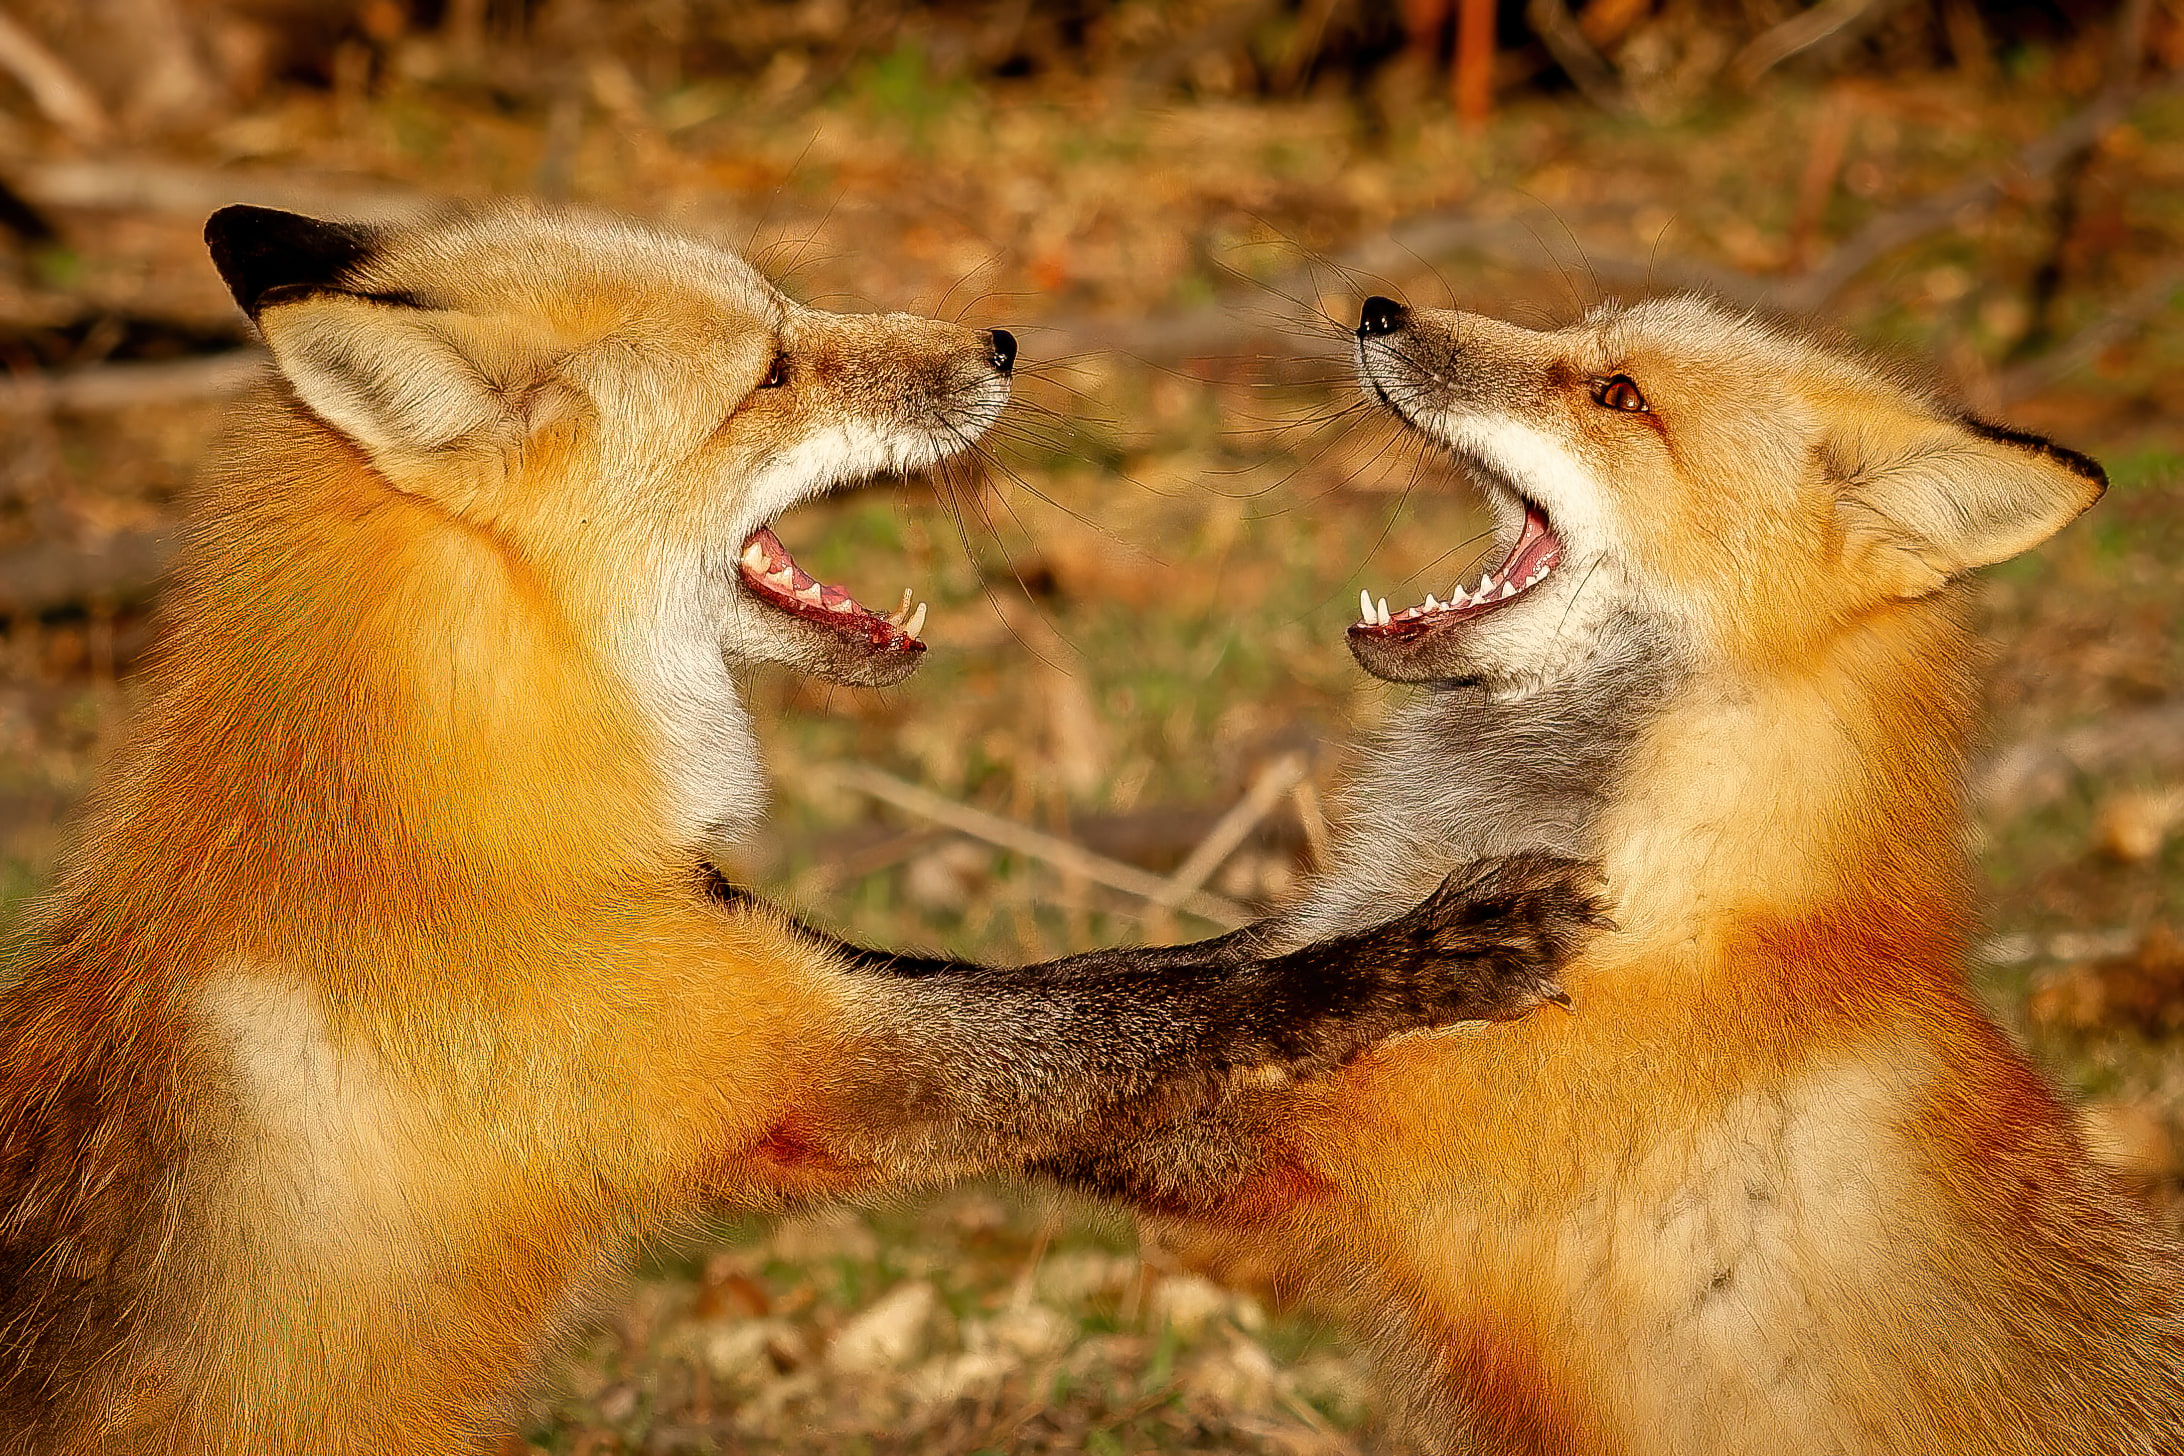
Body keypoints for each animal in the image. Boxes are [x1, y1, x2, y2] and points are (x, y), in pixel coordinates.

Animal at [0, 206, 1605, 1455]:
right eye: (771, 369)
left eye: (789, 325)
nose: (999, 344)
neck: (443, 814)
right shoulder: (806, 1067)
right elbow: (1159, 1015)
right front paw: (1432, 950)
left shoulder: (773, 962)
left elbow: (1128, 972)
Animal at [1042, 294, 2184, 1454]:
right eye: (1577, 342)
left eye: (1619, 396)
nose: (1377, 309)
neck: (1673, 891)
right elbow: (1145, 978)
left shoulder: (1344, 1128)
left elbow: (1082, 1044)